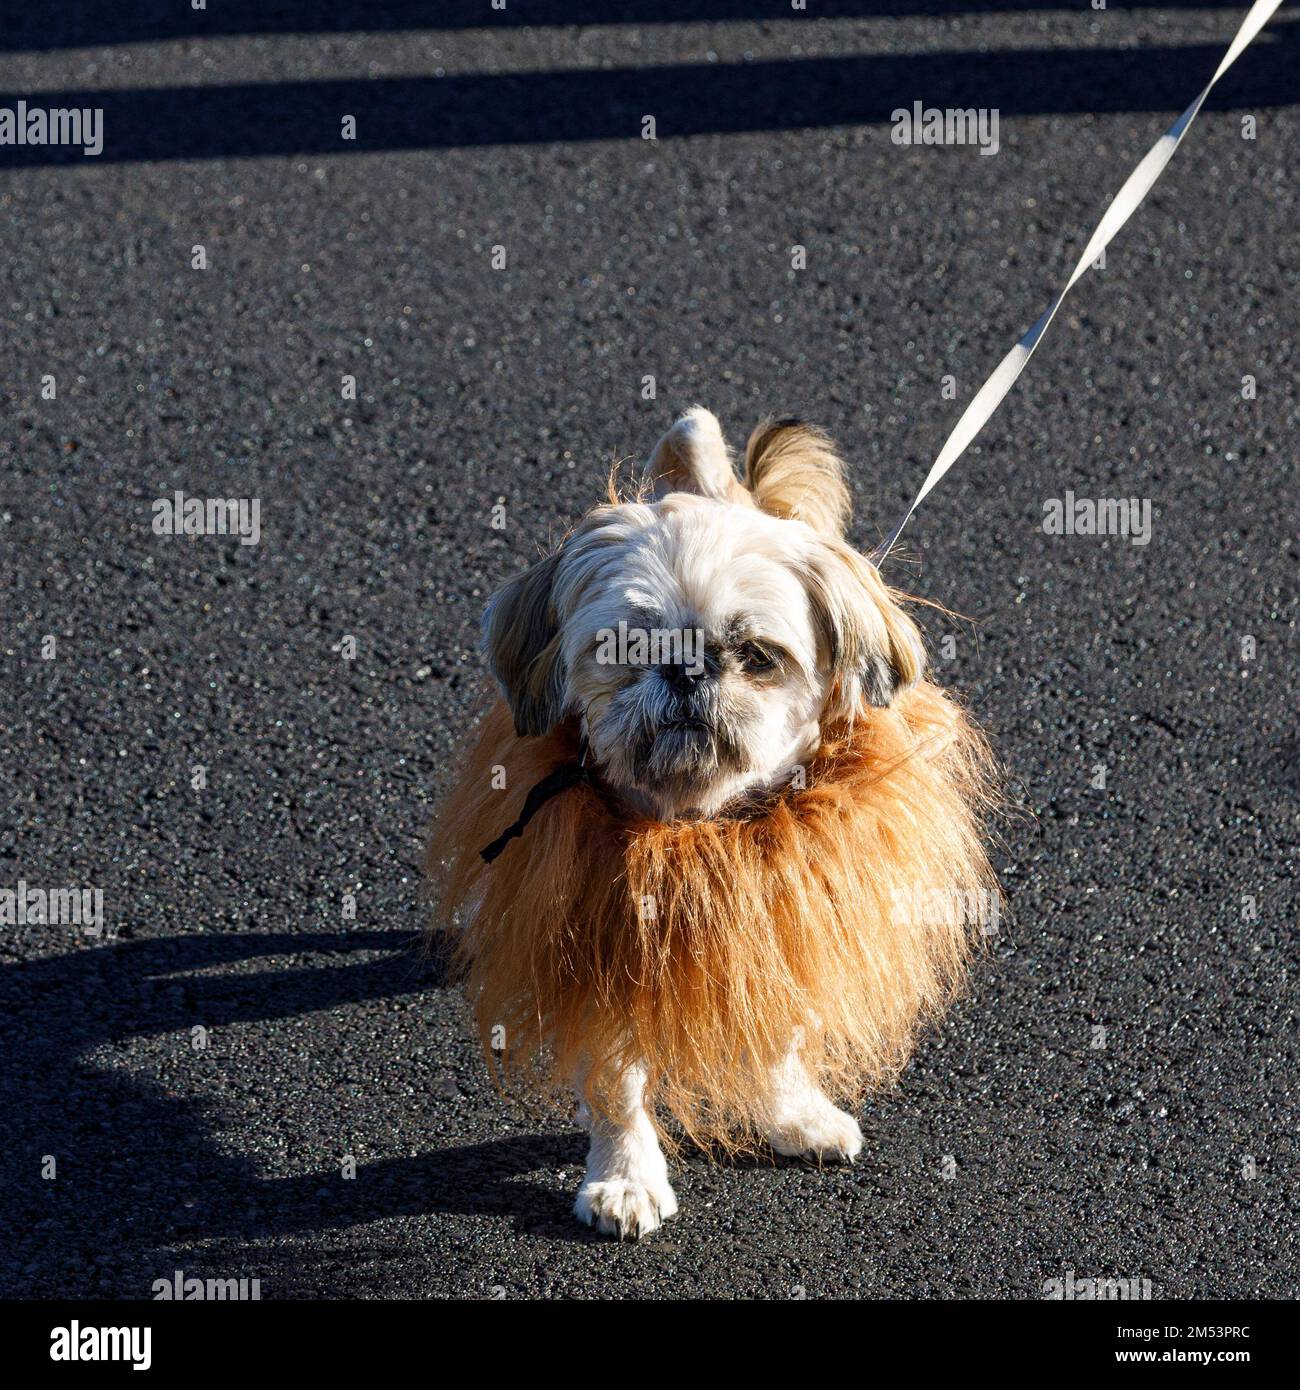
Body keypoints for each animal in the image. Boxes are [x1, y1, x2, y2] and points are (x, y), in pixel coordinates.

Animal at [431, 408, 1001, 1239]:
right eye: (625, 645)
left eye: (757, 655)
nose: (687, 666)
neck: (694, 820)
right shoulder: (608, 921)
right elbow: (617, 1078)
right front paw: (626, 1178)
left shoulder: (776, 901)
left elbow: (775, 1019)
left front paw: (793, 1114)